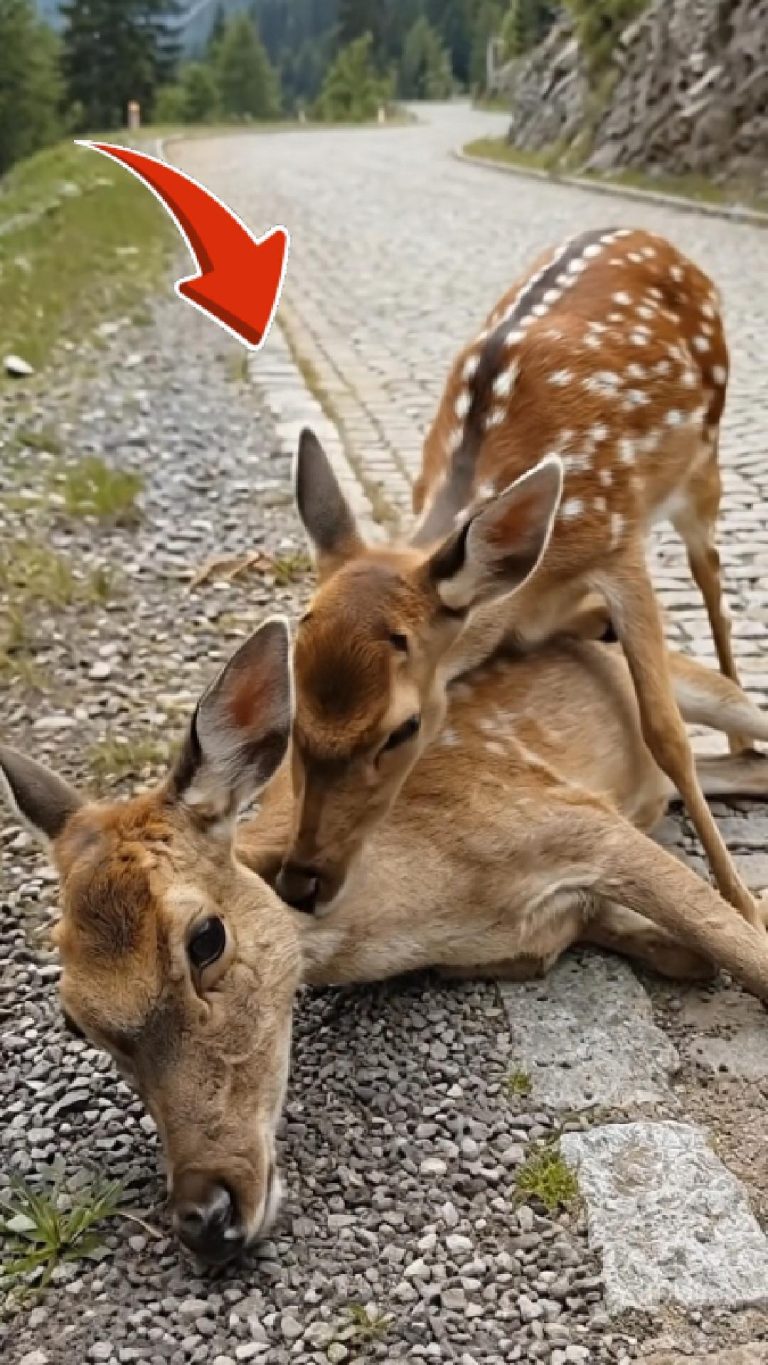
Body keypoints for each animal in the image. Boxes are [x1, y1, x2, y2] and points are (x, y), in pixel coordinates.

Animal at [3, 618, 768, 1265]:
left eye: (206, 938)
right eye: (76, 1021)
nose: (202, 1214)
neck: (421, 906)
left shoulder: (583, 819)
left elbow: (735, 946)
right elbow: (680, 946)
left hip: (698, 683)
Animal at [280, 225, 755, 925]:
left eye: (404, 729)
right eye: (292, 717)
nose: (299, 881)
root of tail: (655, 237)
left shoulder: (618, 542)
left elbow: (666, 733)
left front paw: (745, 904)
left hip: (704, 464)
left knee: (712, 580)